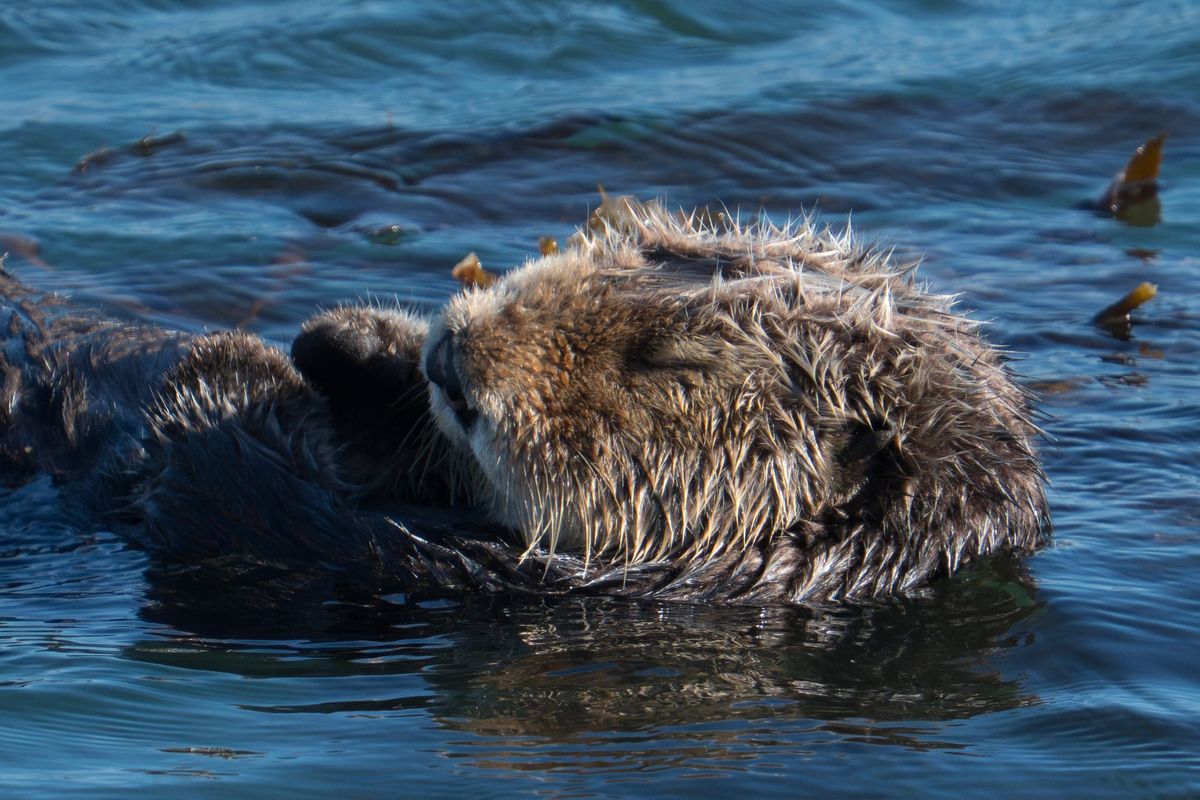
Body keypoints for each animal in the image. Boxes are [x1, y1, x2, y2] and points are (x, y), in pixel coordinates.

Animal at [0, 204, 1048, 604]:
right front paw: (357, 338)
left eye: (666, 361)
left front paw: (263, 355)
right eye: (640, 250)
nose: (452, 351)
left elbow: (208, 439)